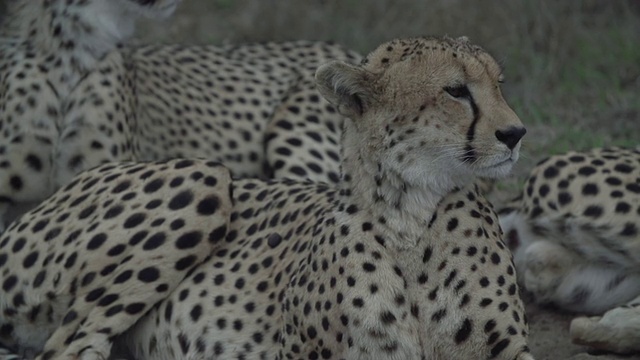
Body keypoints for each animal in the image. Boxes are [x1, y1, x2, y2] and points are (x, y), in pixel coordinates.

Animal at [0, 37, 536, 360]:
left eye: (498, 85)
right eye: (456, 90)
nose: (516, 133)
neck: (413, 213)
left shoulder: (503, 348)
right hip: (205, 176)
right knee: (67, 345)